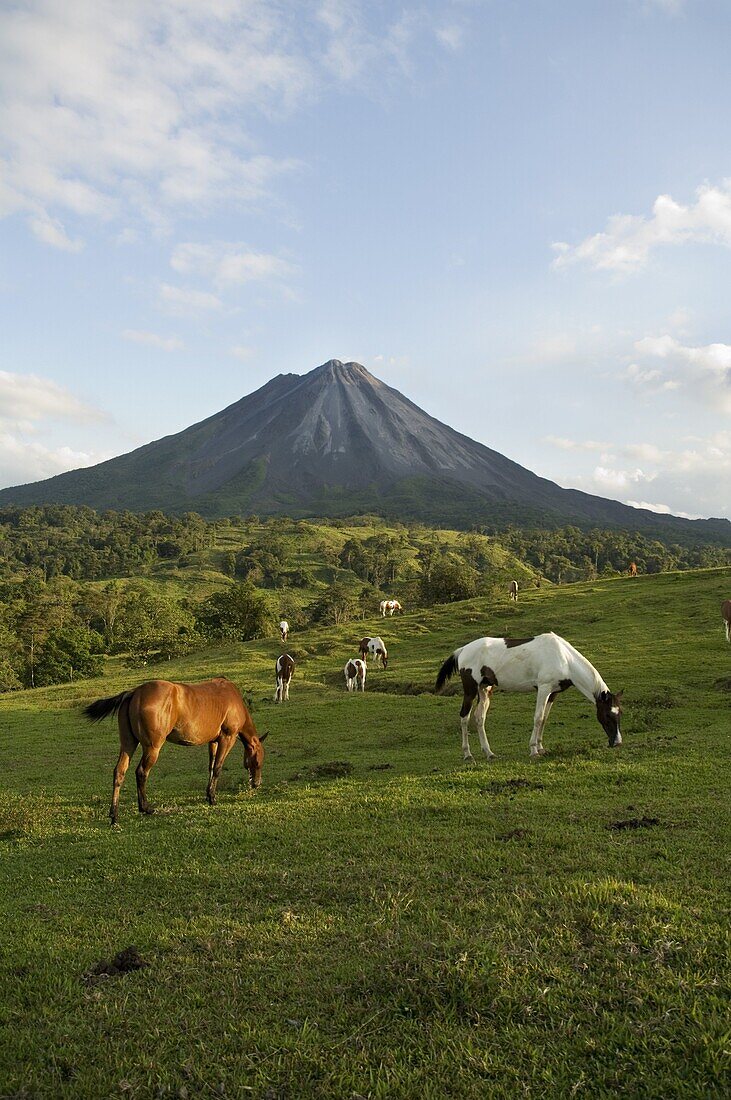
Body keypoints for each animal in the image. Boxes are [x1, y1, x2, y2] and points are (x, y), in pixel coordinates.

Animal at [84, 677, 268, 827]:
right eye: (258, 761)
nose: (257, 783)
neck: (233, 699)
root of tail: (135, 692)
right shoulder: (227, 738)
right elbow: (217, 768)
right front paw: (213, 798)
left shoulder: (213, 742)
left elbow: (210, 767)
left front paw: (208, 794)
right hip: (152, 747)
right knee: (141, 772)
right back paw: (145, 808)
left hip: (128, 744)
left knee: (119, 772)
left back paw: (114, 816)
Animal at [435, 633, 624, 761]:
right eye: (607, 715)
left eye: (619, 714)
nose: (617, 742)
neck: (564, 658)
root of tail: (462, 650)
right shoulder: (543, 688)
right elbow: (538, 718)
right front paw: (533, 750)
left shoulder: (553, 693)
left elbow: (545, 719)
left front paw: (541, 747)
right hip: (471, 690)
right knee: (464, 717)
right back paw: (468, 754)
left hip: (485, 689)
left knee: (479, 717)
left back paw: (489, 753)